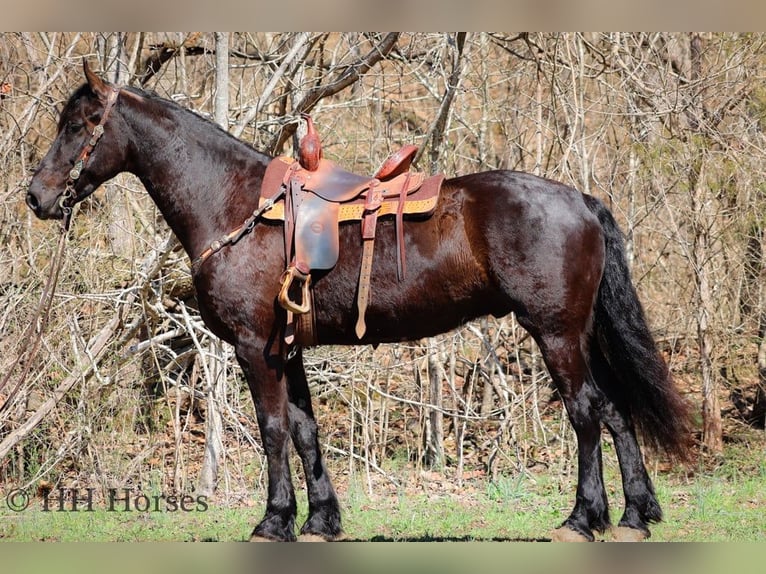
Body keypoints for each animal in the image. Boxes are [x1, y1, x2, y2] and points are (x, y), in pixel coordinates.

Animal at [26, 61, 692, 542]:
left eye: (83, 123)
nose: (36, 195)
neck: (234, 203)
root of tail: (580, 199)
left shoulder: (254, 348)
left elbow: (273, 429)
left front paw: (273, 521)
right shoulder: (286, 348)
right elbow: (304, 429)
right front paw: (320, 521)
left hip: (555, 334)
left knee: (585, 413)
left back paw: (582, 519)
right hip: (579, 335)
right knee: (616, 410)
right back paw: (634, 515)